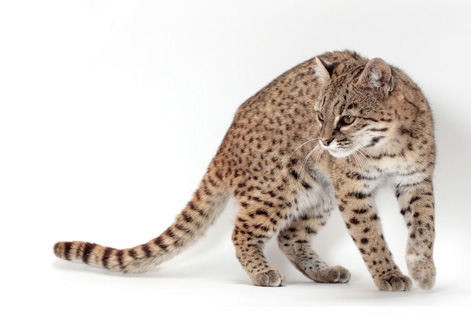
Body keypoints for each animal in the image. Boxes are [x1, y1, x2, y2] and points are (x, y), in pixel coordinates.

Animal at [53, 50, 436, 290]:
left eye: (347, 118)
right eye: (318, 116)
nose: (324, 141)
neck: (386, 147)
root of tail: (224, 144)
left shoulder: (417, 180)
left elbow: (424, 228)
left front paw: (422, 269)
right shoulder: (352, 189)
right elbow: (370, 236)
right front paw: (388, 275)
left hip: (319, 193)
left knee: (289, 236)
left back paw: (324, 272)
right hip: (281, 188)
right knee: (244, 232)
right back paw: (263, 273)